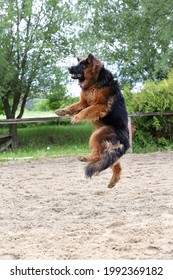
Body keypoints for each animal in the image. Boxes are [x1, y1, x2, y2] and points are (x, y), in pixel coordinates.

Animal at [54, 53, 129, 188]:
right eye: (77, 64)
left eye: (82, 65)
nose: (69, 68)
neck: (94, 82)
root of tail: (126, 141)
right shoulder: (83, 102)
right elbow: (73, 107)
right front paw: (63, 111)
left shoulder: (99, 105)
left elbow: (86, 111)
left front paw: (76, 118)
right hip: (109, 152)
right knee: (113, 164)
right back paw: (113, 180)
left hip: (98, 135)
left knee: (98, 156)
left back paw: (85, 158)